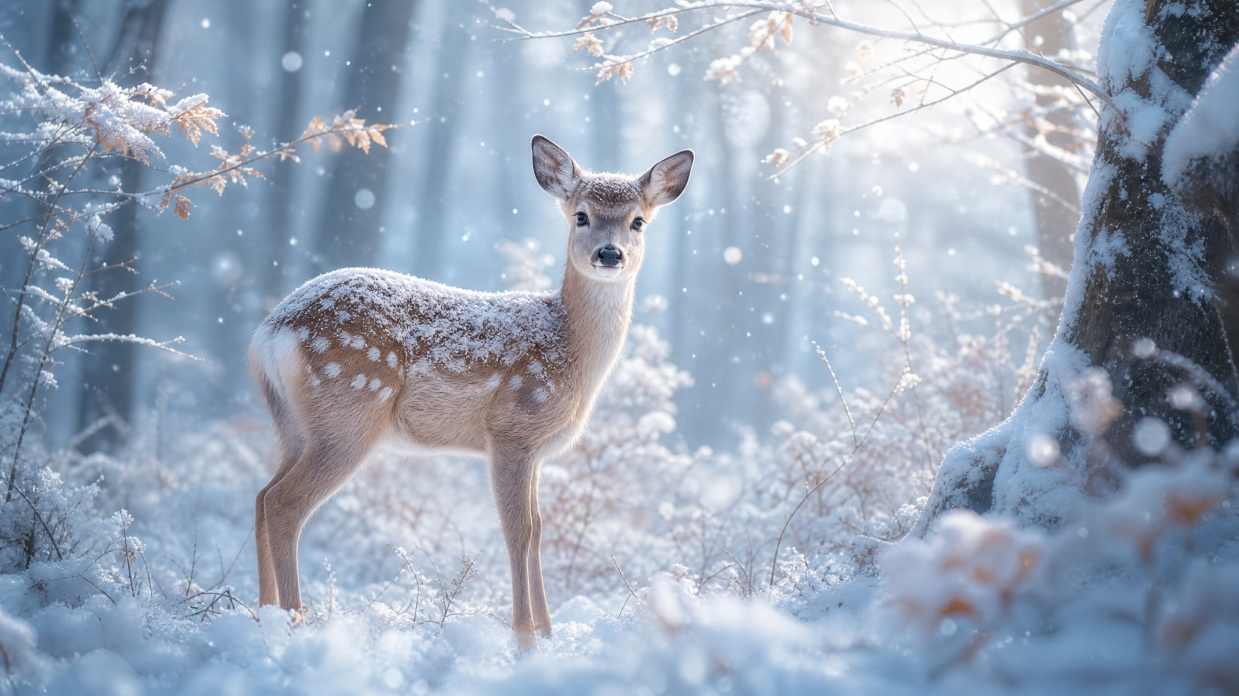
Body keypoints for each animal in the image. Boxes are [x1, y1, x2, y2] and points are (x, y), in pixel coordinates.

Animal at [248, 135, 693, 650]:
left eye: (637, 220)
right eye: (580, 215)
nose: (608, 253)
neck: (571, 349)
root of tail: (271, 333)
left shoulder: (536, 450)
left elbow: (538, 529)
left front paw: (548, 633)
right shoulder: (512, 430)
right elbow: (518, 530)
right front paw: (524, 637)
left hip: (294, 426)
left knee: (262, 497)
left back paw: (263, 616)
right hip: (347, 414)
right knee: (285, 504)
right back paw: (294, 622)